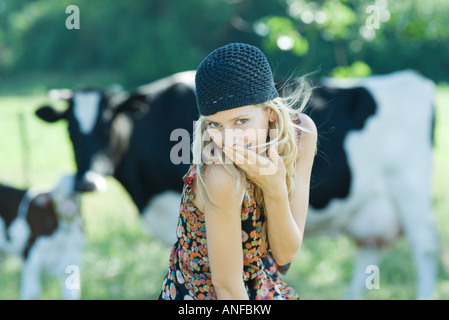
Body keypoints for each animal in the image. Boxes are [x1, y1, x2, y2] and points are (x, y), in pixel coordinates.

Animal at [35, 70, 438, 300]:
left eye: (108, 126)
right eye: (70, 131)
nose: (87, 182)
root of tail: (416, 81)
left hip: (411, 191)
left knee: (425, 251)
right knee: (370, 253)